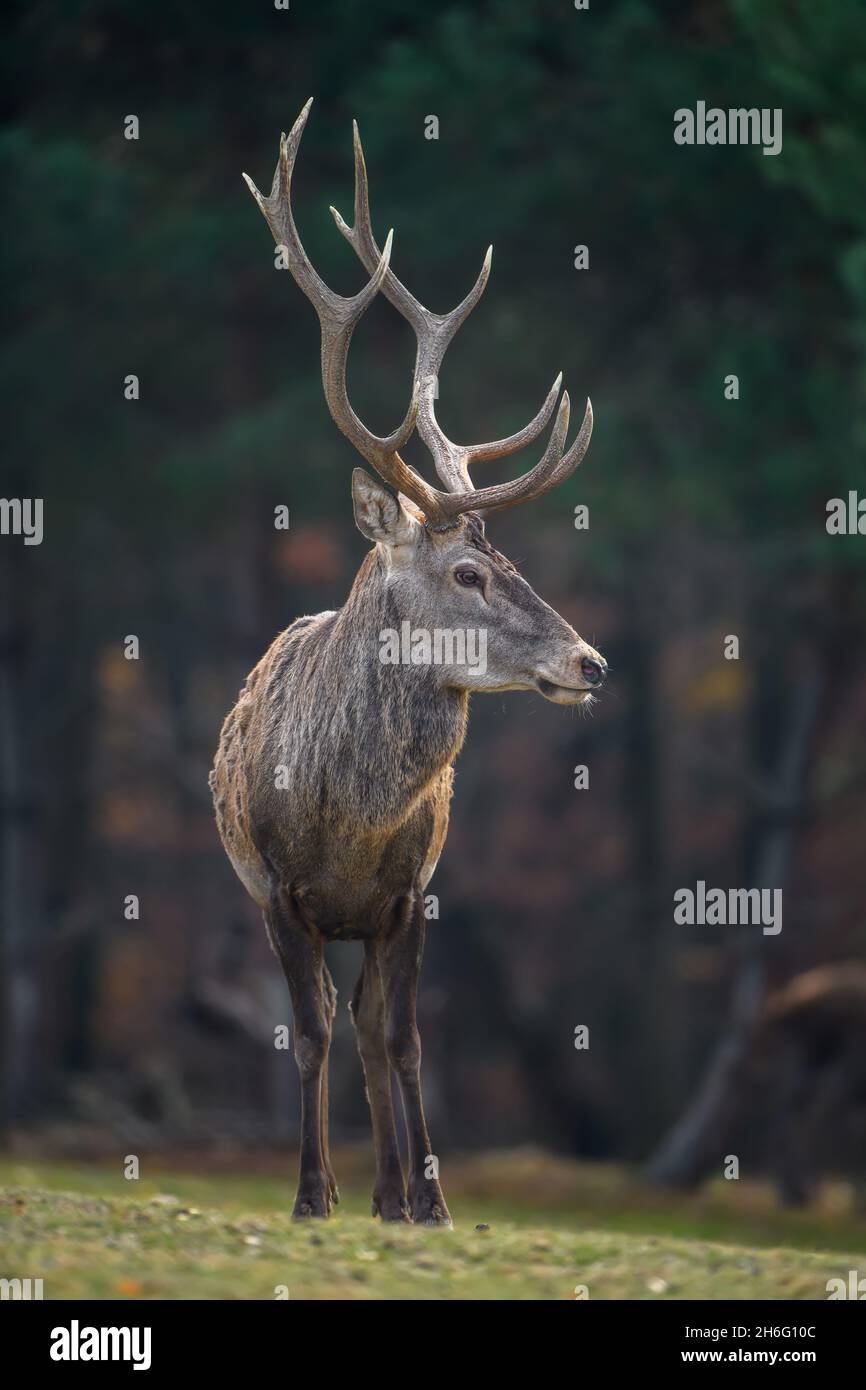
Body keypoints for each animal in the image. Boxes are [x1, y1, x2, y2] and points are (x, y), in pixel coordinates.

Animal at [210, 98, 606, 1224]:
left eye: (510, 562)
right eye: (468, 570)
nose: (592, 661)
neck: (347, 820)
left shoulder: (410, 893)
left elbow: (406, 1039)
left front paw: (428, 1200)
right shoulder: (278, 892)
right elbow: (308, 1035)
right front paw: (311, 1194)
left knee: (376, 1030)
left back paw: (394, 1191)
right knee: (336, 1024)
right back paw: (357, 1187)